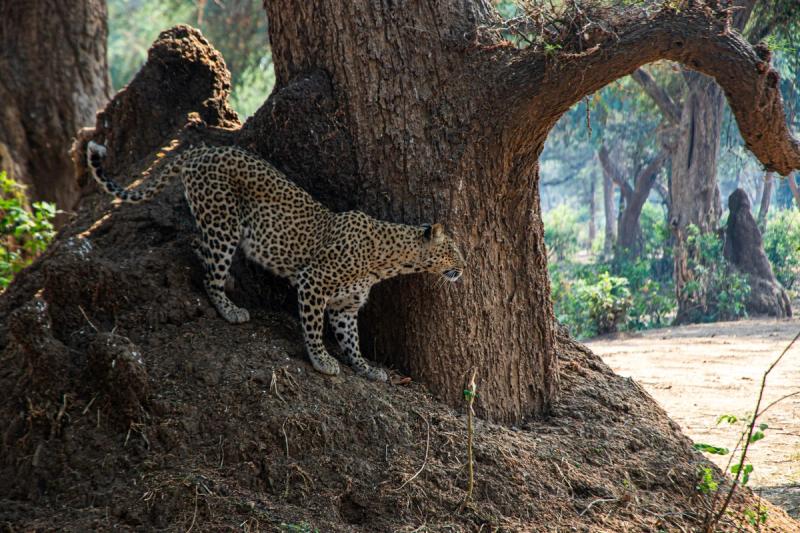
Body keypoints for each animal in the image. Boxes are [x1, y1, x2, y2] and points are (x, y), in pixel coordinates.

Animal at [86, 140, 465, 382]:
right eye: (454, 251)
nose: (464, 268)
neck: (387, 260)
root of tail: (203, 149)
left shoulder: (345, 306)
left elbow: (352, 339)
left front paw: (365, 368)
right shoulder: (314, 283)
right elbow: (313, 328)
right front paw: (322, 361)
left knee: (196, 243)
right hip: (223, 224)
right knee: (208, 271)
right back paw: (230, 307)